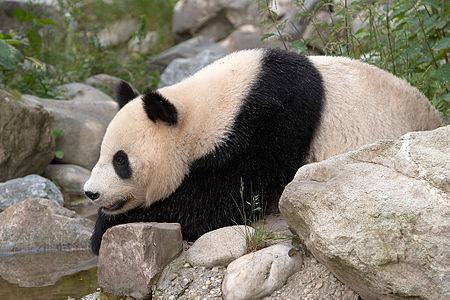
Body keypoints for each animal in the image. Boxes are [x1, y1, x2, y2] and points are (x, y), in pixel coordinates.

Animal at [83, 48, 440, 254]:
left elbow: (225, 200)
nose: (90, 192)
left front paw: (106, 228)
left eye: (120, 161)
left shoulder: (270, 123)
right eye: (100, 154)